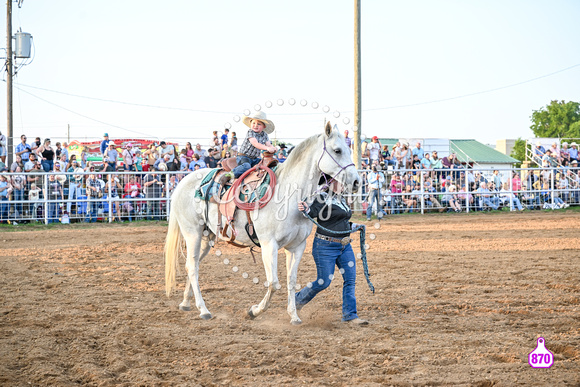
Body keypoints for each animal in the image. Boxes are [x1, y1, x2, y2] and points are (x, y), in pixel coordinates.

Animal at [165, 123, 360, 326]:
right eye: (337, 150)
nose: (356, 181)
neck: (289, 195)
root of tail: (182, 182)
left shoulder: (297, 246)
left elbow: (291, 281)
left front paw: (294, 316)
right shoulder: (269, 244)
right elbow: (274, 283)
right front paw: (254, 311)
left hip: (206, 237)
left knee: (192, 265)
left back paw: (186, 303)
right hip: (192, 234)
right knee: (192, 267)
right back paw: (203, 310)